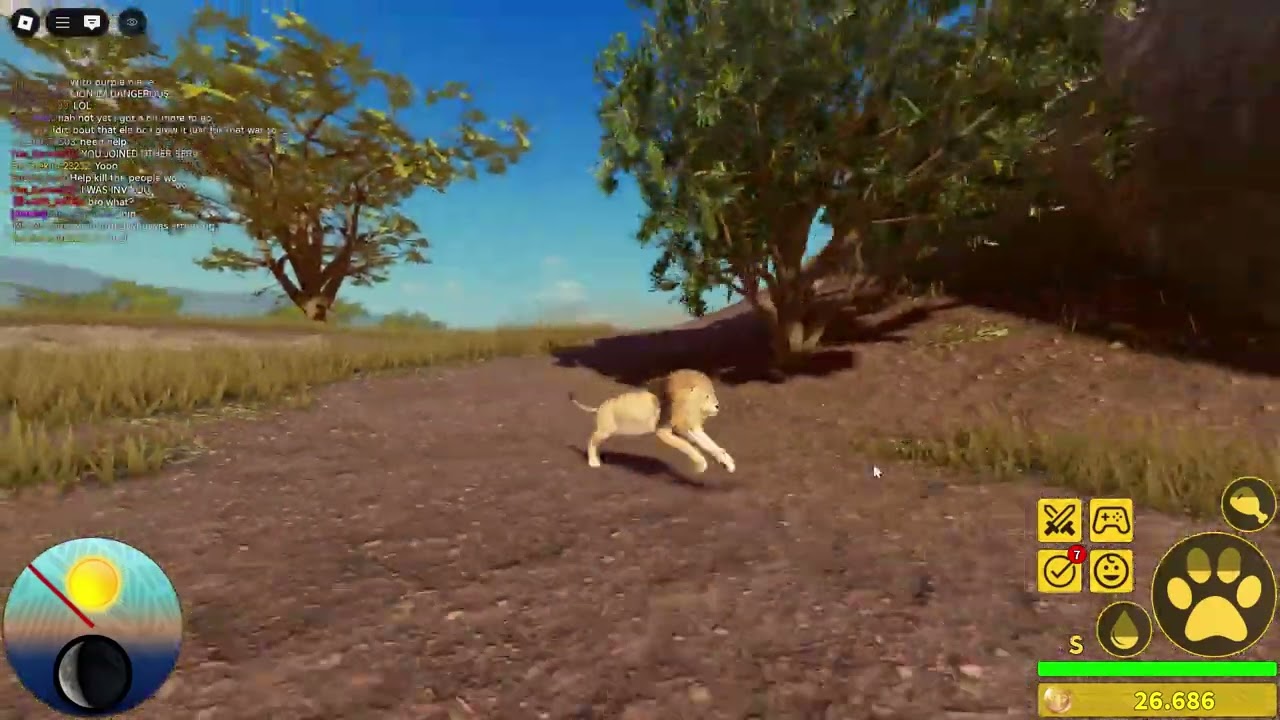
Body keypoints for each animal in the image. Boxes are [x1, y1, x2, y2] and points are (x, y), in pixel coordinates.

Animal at [569, 369, 736, 474]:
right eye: (707, 396)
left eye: (713, 394)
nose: (717, 405)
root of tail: (599, 407)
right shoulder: (663, 431)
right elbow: (686, 446)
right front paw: (701, 464)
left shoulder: (688, 427)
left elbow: (710, 444)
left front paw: (727, 463)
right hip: (605, 430)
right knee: (591, 440)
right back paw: (593, 461)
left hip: (607, 432)